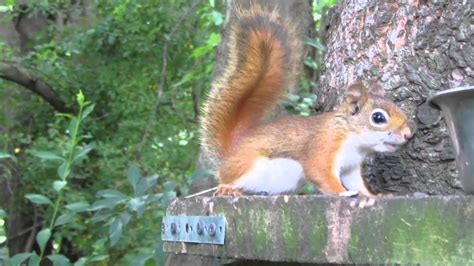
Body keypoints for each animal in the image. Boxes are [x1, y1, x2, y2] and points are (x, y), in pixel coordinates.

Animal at [202, 2, 412, 197]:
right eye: (378, 118)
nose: (408, 135)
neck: (352, 138)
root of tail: (229, 155)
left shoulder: (351, 168)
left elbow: (357, 184)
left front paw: (372, 195)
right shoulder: (324, 146)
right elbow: (320, 173)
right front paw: (343, 193)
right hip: (247, 168)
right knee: (227, 181)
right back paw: (228, 189)